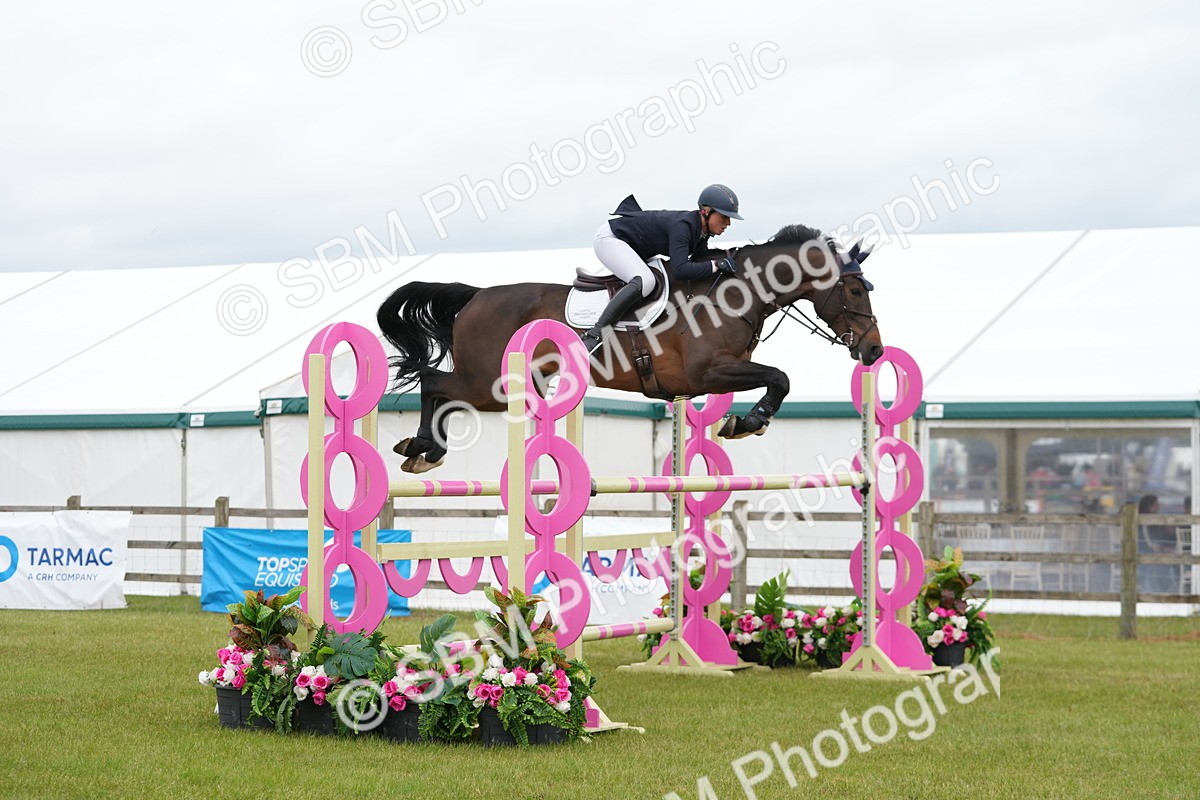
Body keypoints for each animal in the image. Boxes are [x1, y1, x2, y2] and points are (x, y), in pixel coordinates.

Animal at [377, 224, 883, 474]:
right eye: (856, 291)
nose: (875, 351)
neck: (734, 294)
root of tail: (477, 296)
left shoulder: (717, 375)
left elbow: (777, 379)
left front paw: (744, 421)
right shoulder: (707, 373)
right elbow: (780, 376)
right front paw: (749, 422)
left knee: (442, 390)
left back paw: (425, 450)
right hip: (490, 383)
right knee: (434, 382)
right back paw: (422, 448)